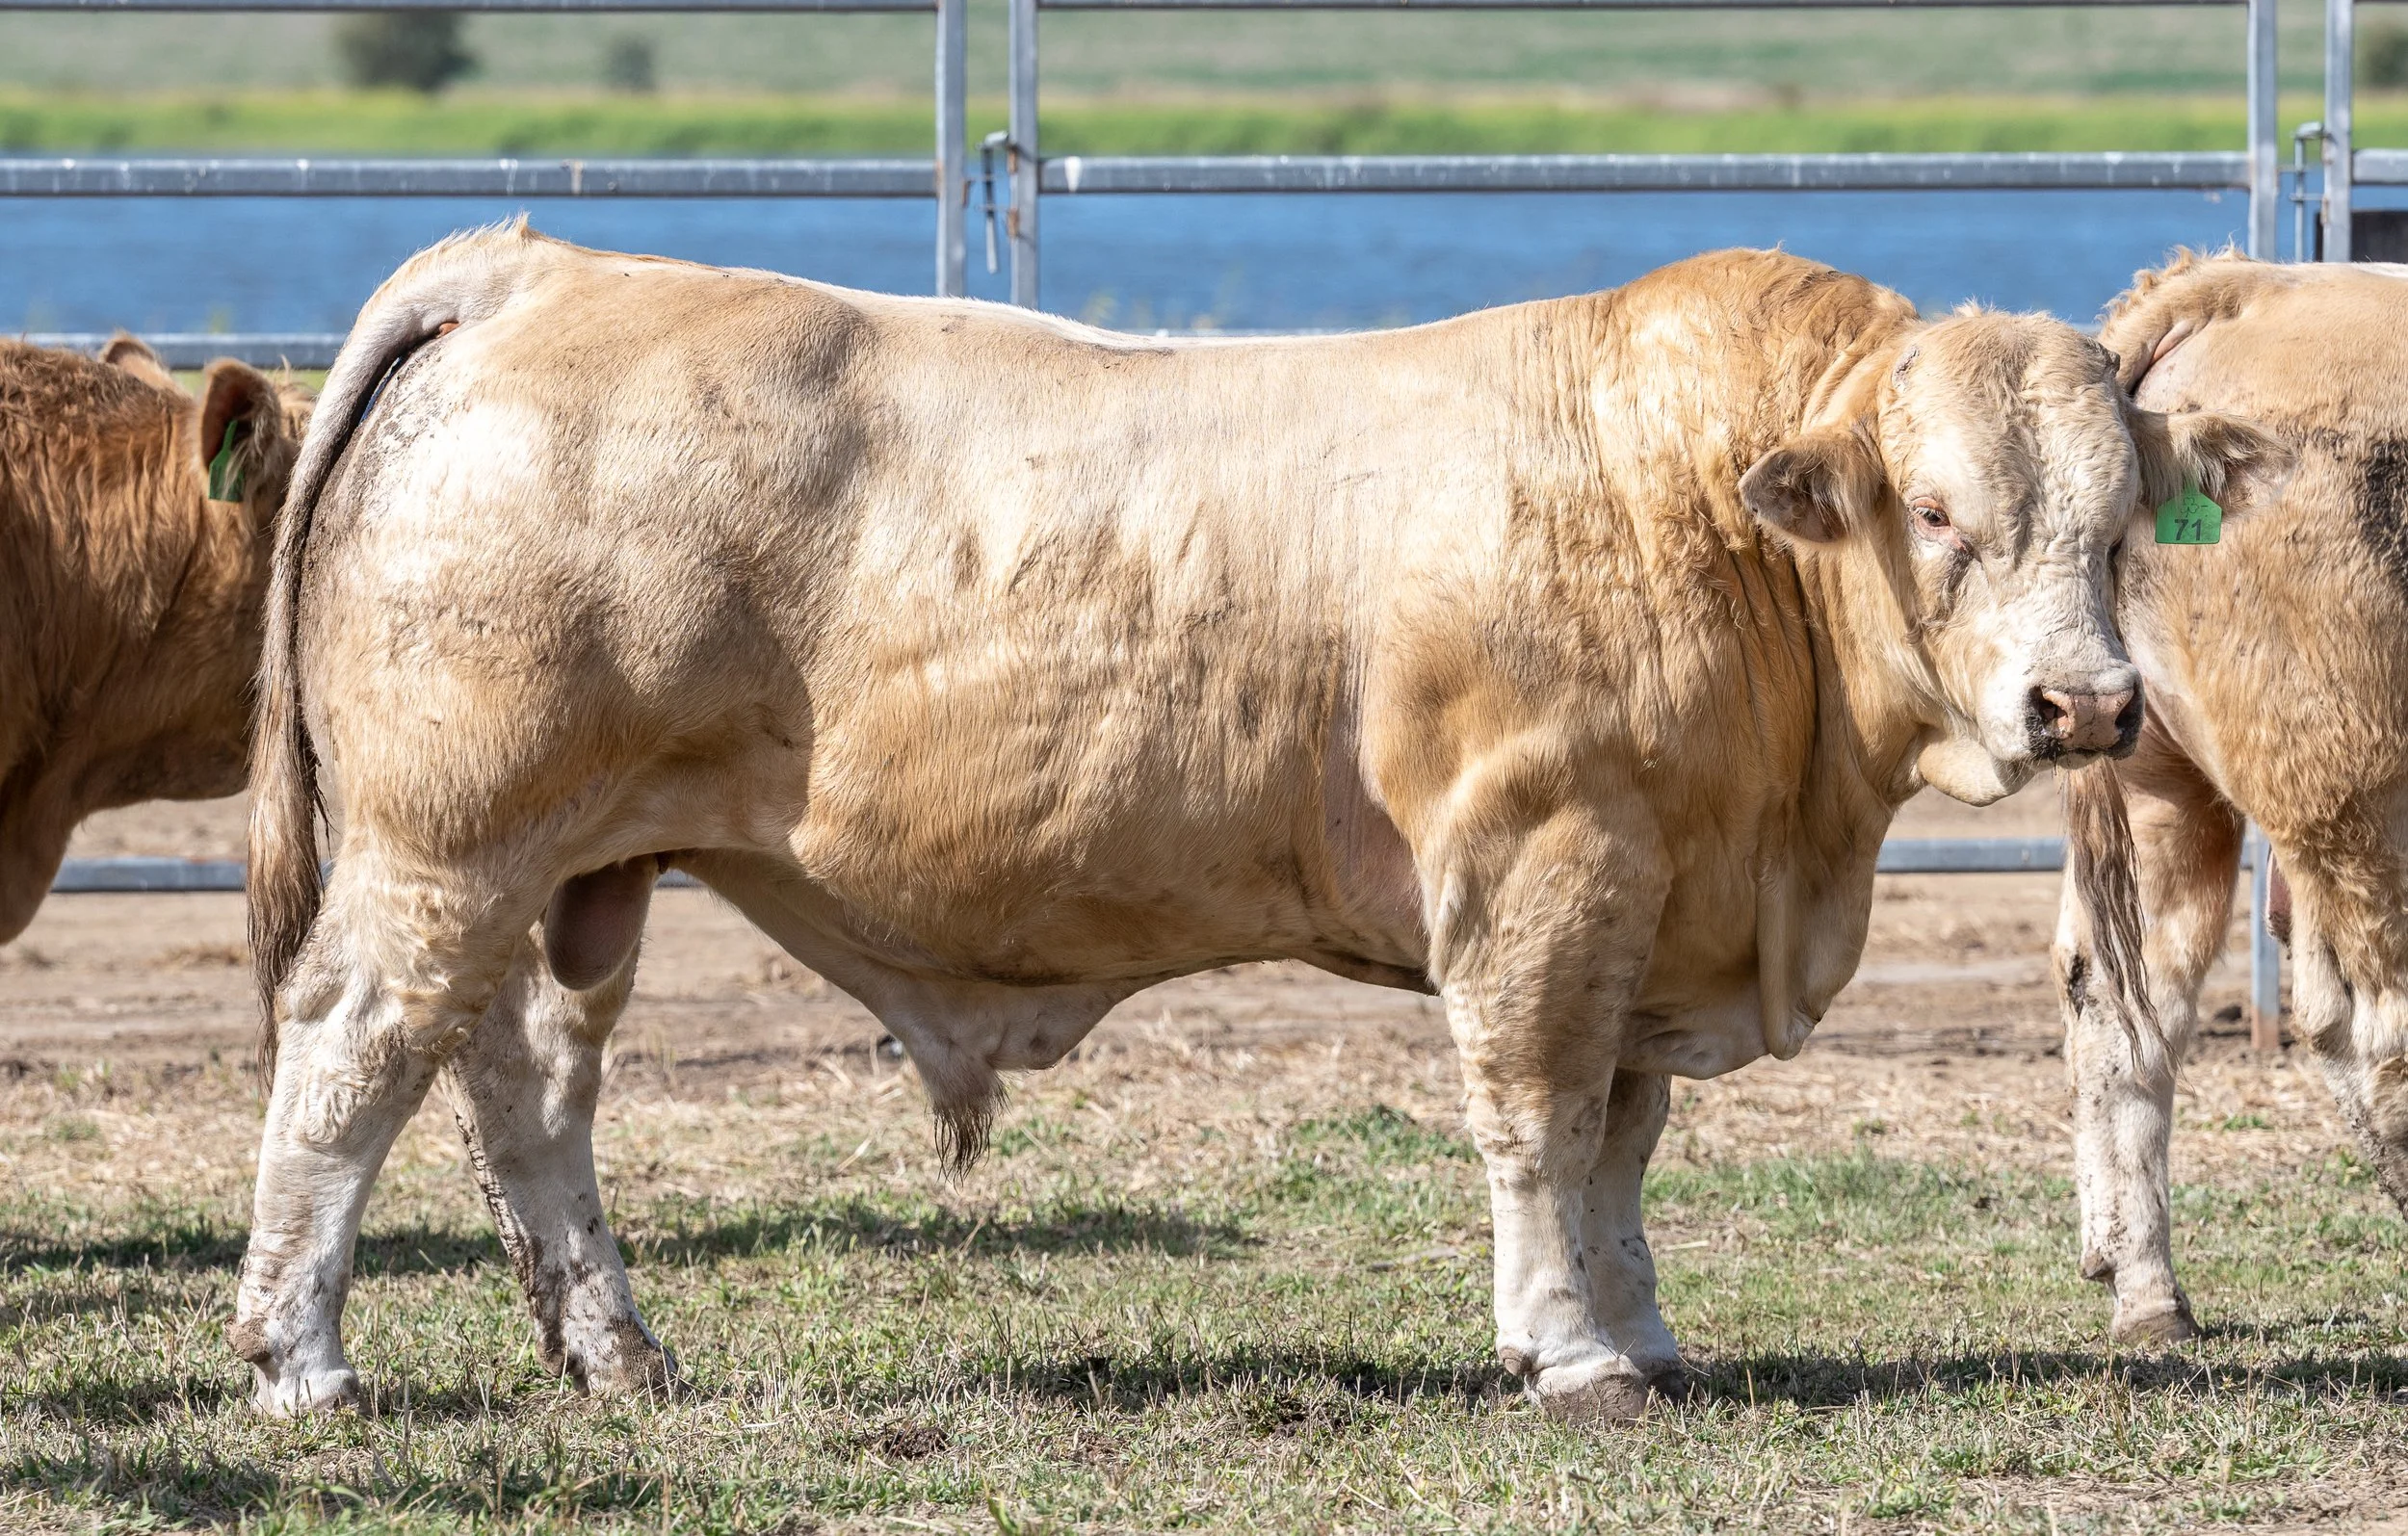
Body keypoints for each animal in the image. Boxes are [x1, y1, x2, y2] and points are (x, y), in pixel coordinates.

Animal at [230, 220, 2281, 1420]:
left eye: (2120, 522)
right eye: (1934, 510)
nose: (2089, 708)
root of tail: (540, 268)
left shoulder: (1657, 888)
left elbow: (1622, 1137)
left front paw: (1645, 1328)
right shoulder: (1544, 866)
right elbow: (1539, 1116)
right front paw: (1570, 1351)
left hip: (576, 872)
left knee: (525, 1087)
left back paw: (613, 1350)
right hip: (446, 846)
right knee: (351, 1054)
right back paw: (301, 1360)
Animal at [2061, 252, 2408, 1344]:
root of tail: (2241, 282)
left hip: (2154, 775)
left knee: (2118, 994)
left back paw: (2143, 1286)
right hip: (2352, 792)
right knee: (2376, 1020)